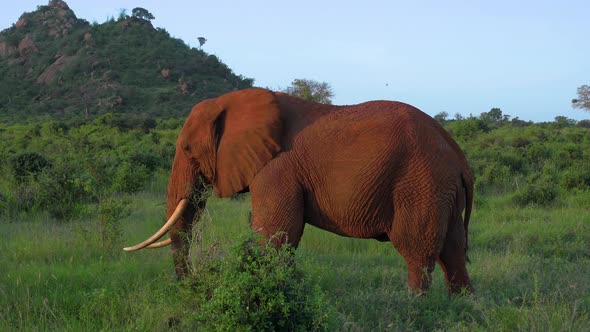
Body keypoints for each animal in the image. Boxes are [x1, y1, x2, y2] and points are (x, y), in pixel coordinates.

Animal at [126, 87, 476, 294]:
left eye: (186, 149)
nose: (191, 285)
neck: (231, 102)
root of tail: (459, 156)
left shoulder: (276, 168)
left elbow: (276, 235)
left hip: (421, 183)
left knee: (417, 250)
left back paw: (414, 306)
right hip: (443, 189)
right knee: (453, 251)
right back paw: (460, 306)